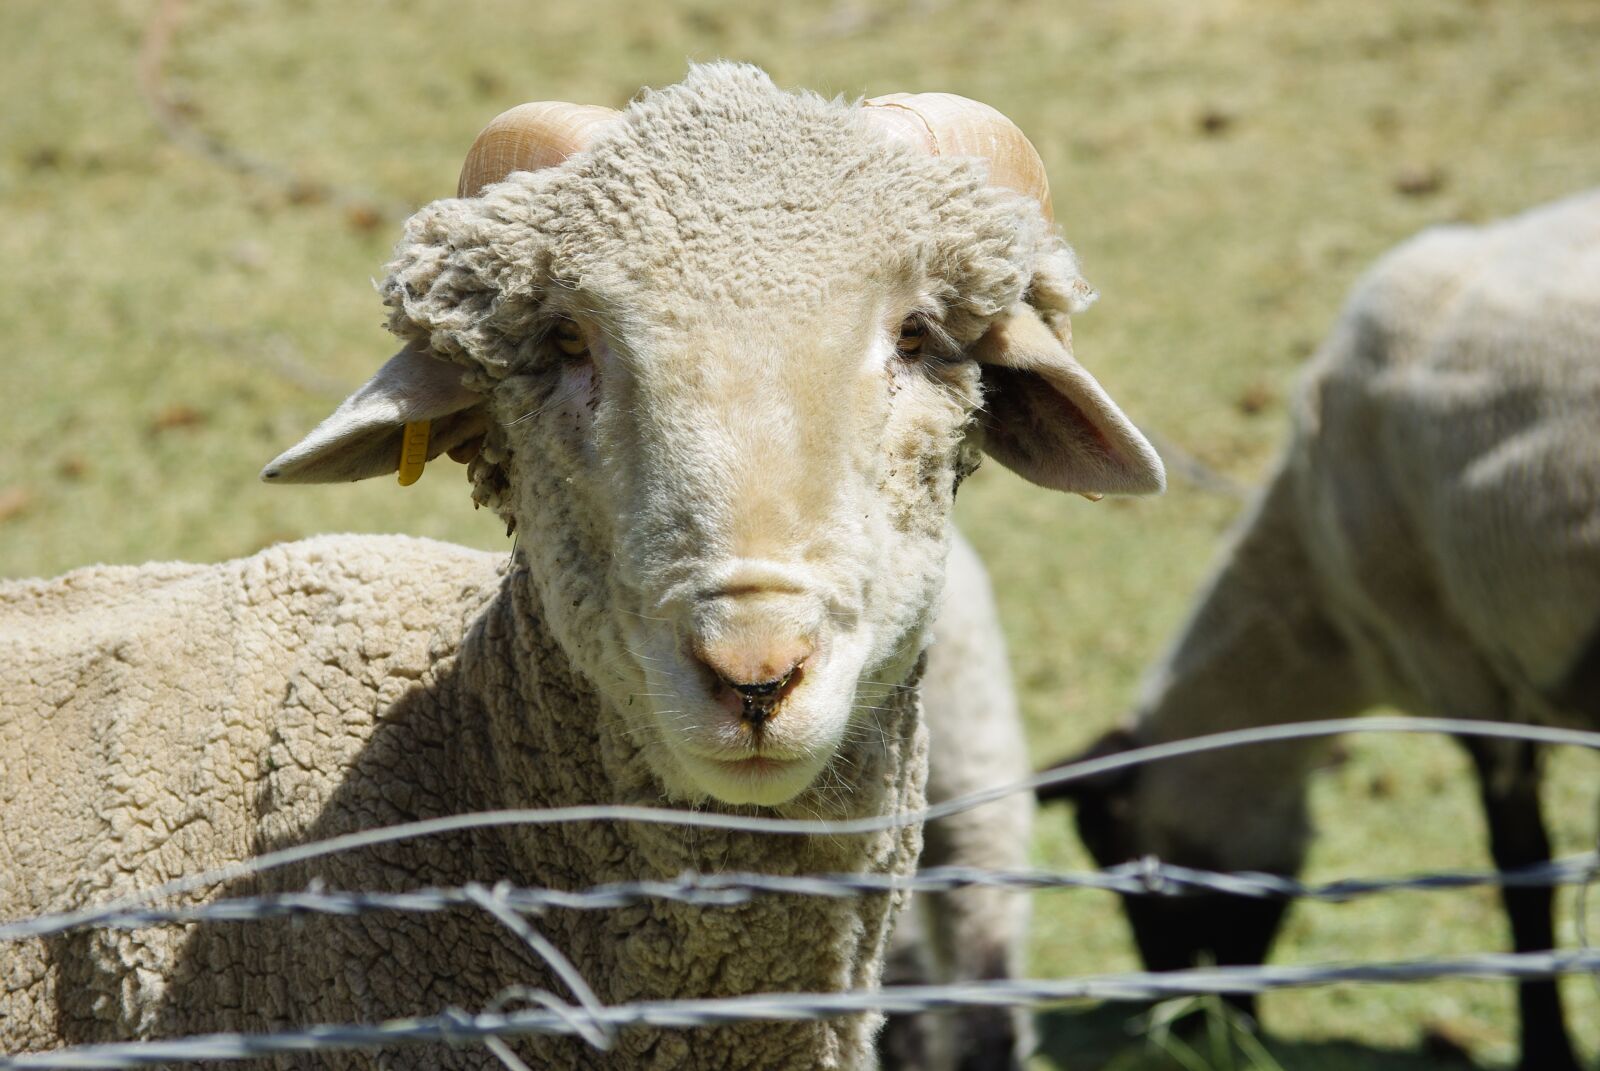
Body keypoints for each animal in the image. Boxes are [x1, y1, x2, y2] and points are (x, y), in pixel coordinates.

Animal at [1037, 189, 1600, 1071]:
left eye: (1113, 850)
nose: (1185, 1020)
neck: (1324, 612)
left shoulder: (1465, 669)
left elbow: (1524, 871)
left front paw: (1547, 1046)